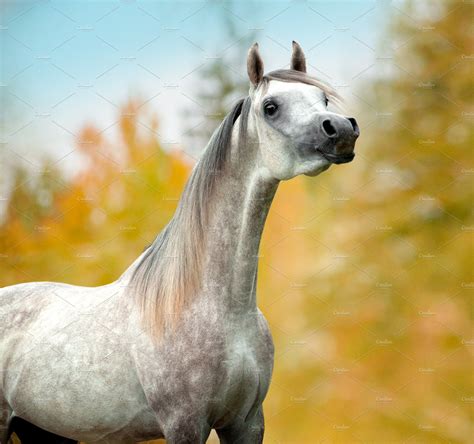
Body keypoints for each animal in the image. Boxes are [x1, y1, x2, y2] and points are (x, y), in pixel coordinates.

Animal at [0, 42, 356, 444]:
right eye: (271, 107)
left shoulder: (247, 422)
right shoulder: (185, 423)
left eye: (322, 98)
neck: (218, 308)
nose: (342, 129)